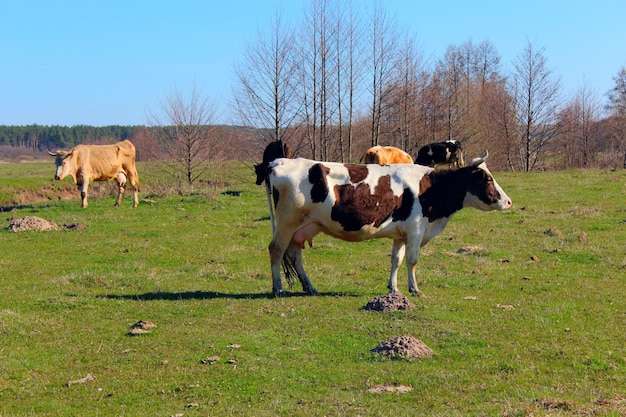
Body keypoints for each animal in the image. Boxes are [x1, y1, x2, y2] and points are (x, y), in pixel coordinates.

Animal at [264, 151, 512, 298]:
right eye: (487, 179)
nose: (509, 201)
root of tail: (279, 161)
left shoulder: (401, 234)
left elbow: (396, 260)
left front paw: (393, 288)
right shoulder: (416, 230)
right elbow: (412, 261)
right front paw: (415, 289)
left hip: (302, 226)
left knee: (294, 254)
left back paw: (310, 287)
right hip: (287, 222)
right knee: (276, 250)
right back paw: (278, 288)